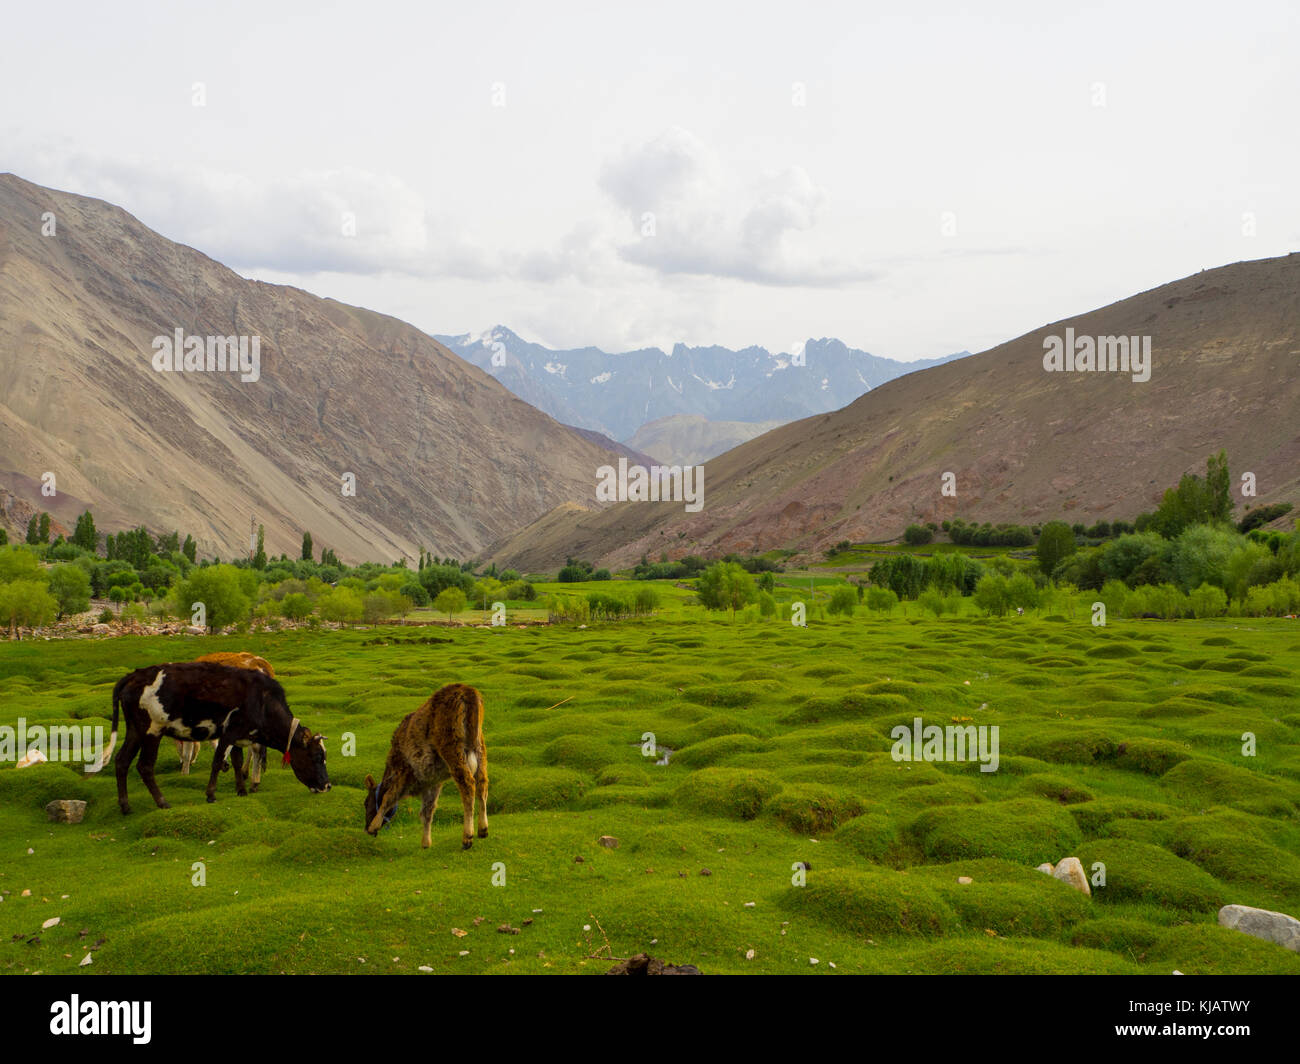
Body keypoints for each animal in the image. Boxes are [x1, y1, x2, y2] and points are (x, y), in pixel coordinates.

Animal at [92, 663, 330, 811]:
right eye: (317, 757)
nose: (327, 786)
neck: (262, 701)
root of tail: (134, 676)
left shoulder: (239, 737)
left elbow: (237, 762)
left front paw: (241, 790)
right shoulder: (228, 733)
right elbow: (217, 762)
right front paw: (211, 794)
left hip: (135, 730)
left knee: (122, 761)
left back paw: (125, 806)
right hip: (152, 730)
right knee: (144, 766)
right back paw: (162, 802)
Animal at [364, 681, 488, 848]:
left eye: (366, 803)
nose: (365, 828)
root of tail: (467, 690)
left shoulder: (405, 770)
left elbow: (388, 797)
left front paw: (374, 825)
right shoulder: (433, 780)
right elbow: (428, 810)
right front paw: (426, 842)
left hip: (451, 745)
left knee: (468, 783)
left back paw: (467, 836)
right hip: (480, 747)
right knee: (482, 782)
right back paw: (483, 829)